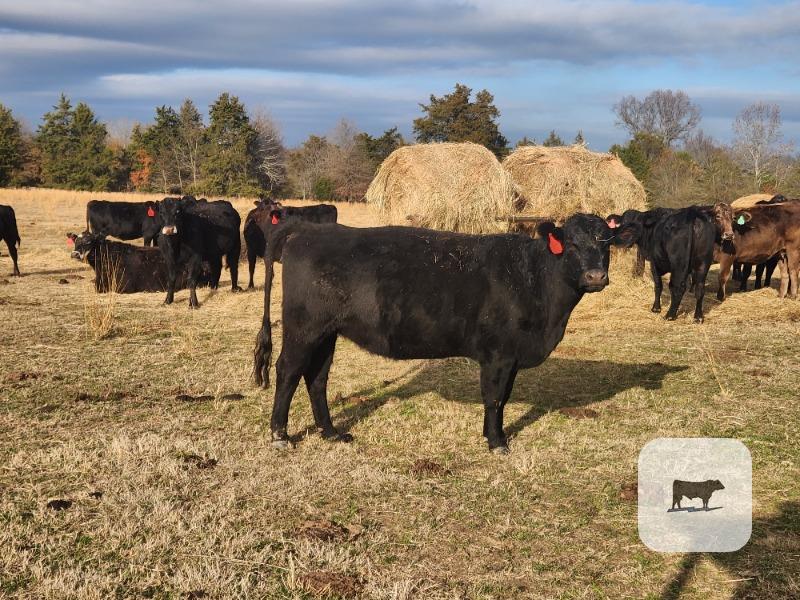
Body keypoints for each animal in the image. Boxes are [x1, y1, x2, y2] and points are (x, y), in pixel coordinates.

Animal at [252, 214, 640, 453]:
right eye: (571, 244)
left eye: (606, 244)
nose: (596, 276)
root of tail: (306, 230)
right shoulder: (498, 354)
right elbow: (494, 397)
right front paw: (497, 442)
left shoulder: (512, 356)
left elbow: (504, 397)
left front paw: (492, 435)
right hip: (303, 327)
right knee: (288, 371)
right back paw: (279, 435)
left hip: (327, 332)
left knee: (316, 377)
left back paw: (331, 433)